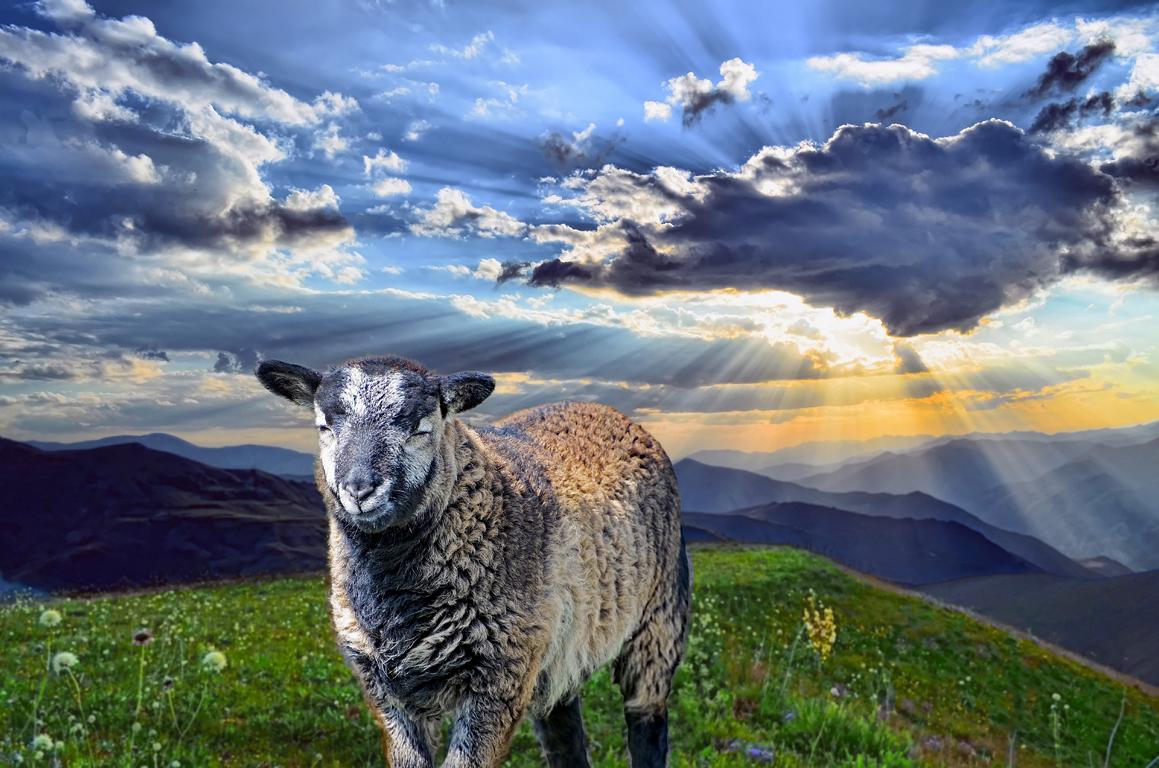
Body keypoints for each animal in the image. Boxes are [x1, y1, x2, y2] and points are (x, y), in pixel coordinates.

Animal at [256, 355, 691, 768]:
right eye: (324, 427)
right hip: (558, 649)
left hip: (659, 619)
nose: (360, 490)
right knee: (563, 728)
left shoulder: (499, 677)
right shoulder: (384, 690)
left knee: (647, 718)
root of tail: (607, 411)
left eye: (420, 429)